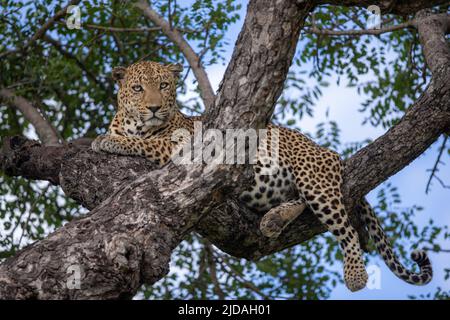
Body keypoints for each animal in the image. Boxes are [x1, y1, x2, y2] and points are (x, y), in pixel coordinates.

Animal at [91, 60, 432, 292]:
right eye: (138, 88)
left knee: (344, 228)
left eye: (163, 86)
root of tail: (329, 152)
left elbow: (145, 142)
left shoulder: (184, 145)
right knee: (302, 202)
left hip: (313, 177)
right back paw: (274, 220)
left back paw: (356, 275)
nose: (153, 108)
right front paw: (109, 138)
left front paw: (107, 141)